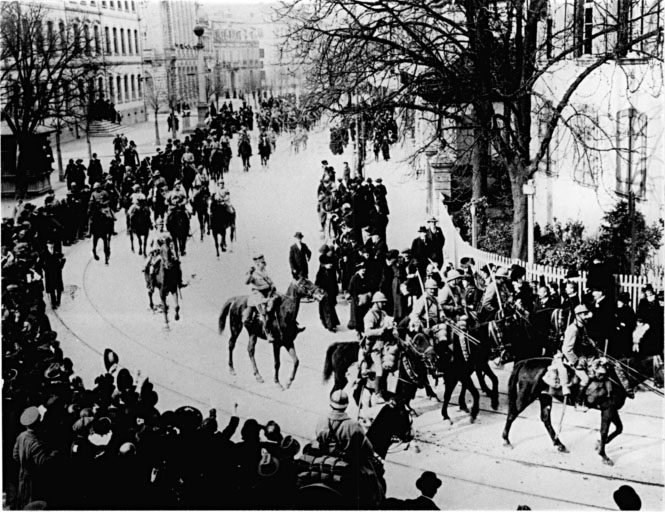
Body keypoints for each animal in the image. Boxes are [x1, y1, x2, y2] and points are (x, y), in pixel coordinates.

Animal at [500, 354, 660, 466]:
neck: (618, 377)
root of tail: (524, 361)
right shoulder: (607, 409)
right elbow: (604, 430)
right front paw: (604, 455)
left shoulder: (611, 409)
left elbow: (619, 428)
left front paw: (598, 445)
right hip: (527, 395)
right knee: (512, 413)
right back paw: (506, 440)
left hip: (545, 396)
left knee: (545, 419)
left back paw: (560, 445)